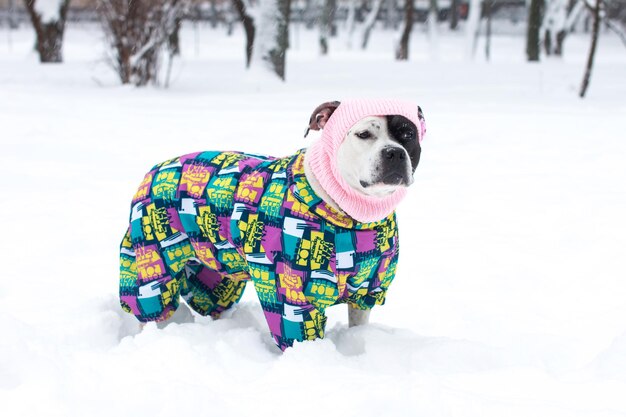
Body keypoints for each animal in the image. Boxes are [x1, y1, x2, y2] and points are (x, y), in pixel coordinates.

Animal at [118, 97, 424, 348]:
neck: (353, 217)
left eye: (408, 134)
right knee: (150, 301)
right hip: (152, 259)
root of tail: (154, 169)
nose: (394, 152)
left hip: (216, 270)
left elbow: (358, 322)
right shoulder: (291, 294)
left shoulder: (368, 290)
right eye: (363, 134)